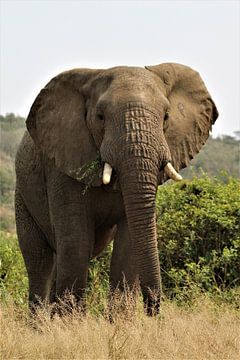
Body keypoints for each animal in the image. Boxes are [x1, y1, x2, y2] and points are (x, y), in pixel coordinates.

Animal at [14, 62, 218, 316]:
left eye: (166, 116)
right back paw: (41, 322)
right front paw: (71, 323)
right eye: (100, 117)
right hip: (22, 195)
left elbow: (128, 241)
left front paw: (120, 321)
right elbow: (76, 240)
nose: (152, 308)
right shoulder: (62, 166)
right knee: (40, 261)